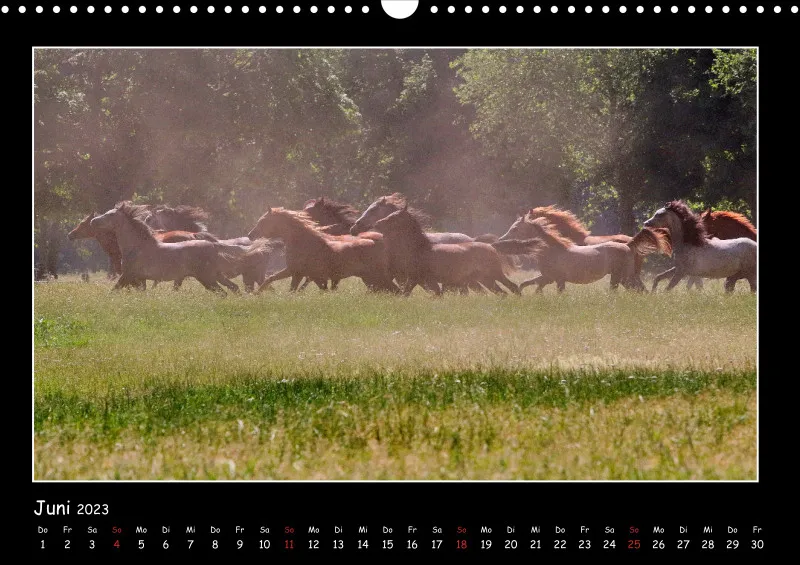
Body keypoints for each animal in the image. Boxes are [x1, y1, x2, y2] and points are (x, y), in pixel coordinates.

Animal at [89, 202, 254, 294]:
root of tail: (213, 245)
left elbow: (113, 291)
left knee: (223, 292)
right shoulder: (139, 279)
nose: (93, 221)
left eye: (110, 215)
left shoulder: (128, 275)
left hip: (207, 277)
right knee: (234, 288)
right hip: (216, 275)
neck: (136, 246)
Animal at [247, 207, 399, 293]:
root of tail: (378, 240)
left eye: (263, 221)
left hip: (376, 276)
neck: (302, 242)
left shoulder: (297, 273)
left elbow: (291, 289)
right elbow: (272, 279)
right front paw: (257, 294)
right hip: (369, 278)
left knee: (395, 290)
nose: (250, 235)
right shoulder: (295, 272)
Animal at [371, 205, 541, 296]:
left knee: (512, 287)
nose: (377, 224)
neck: (419, 250)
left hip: (494, 274)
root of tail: (491, 246)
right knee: (502, 292)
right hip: (485, 279)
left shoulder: (419, 279)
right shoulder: (421, 280)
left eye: (395, 216)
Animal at [500, 216, 672, 292]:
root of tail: (628, 245)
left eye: (515, 228)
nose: (501, 239)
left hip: (622, 276)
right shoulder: (548, 277)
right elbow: (527, 284)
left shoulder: (558, 279)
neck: (552, 250)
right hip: (625, 277)